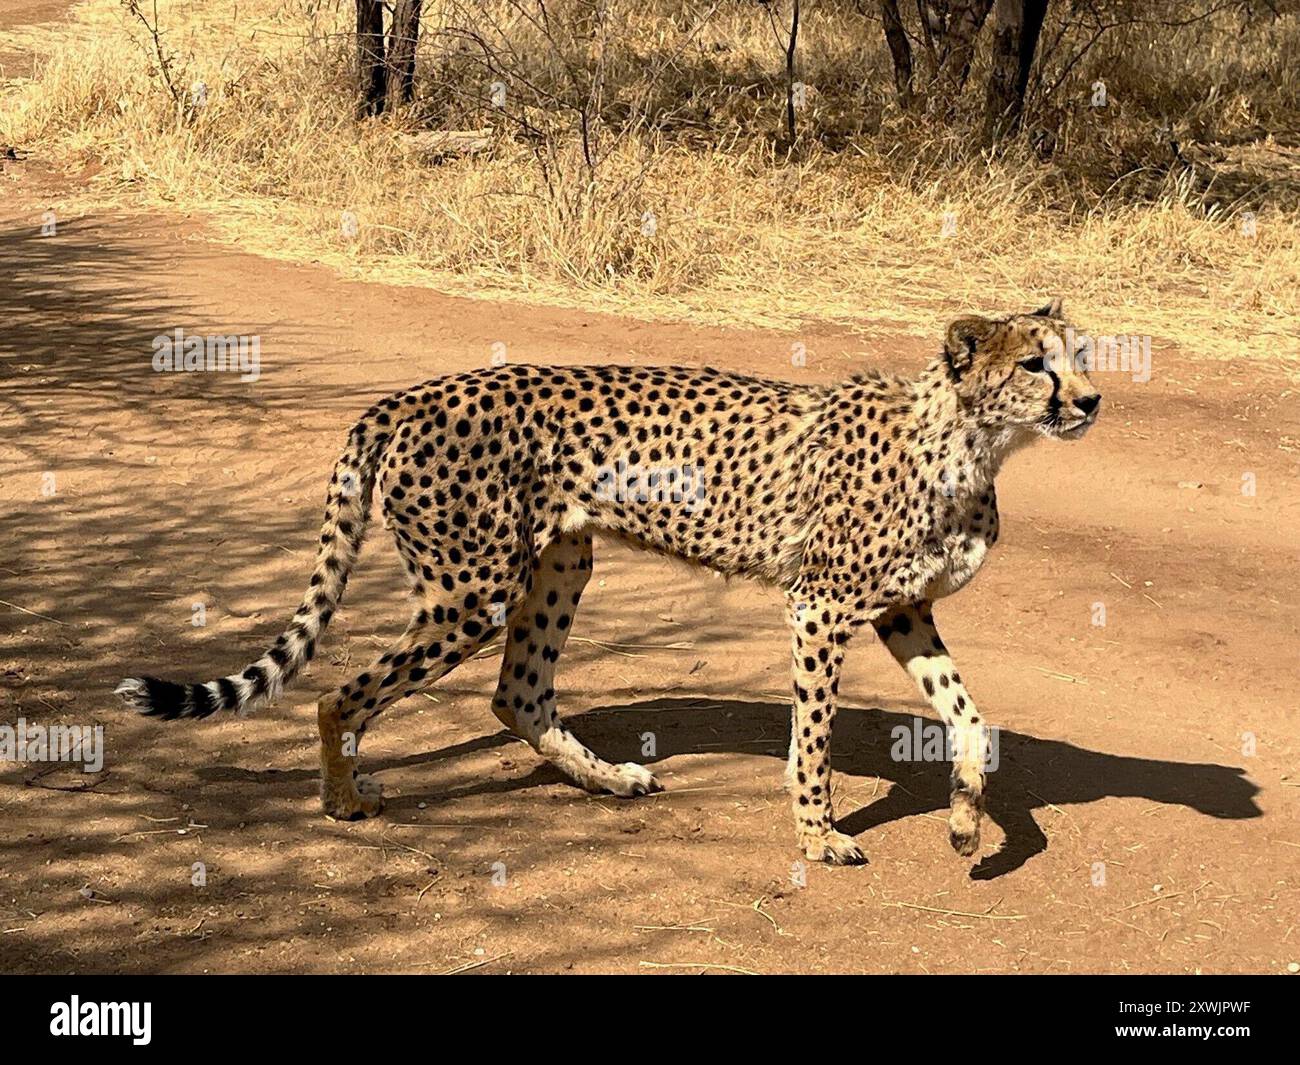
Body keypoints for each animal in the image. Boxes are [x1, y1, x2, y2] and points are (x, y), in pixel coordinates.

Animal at [119, 300, 1097, 868]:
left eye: (1080, 355)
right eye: (1035, 365)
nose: (1090, 399)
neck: (971, 441)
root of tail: (405, 395)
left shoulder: (902, 611)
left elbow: (971, 720)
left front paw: (968, 826)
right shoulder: (820, 608)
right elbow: (815, 739)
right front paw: (819, 833)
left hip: (560, 561)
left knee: (516, 694)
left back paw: (610, 780)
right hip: (471, 588)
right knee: (340, 692)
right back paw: (345, 797)